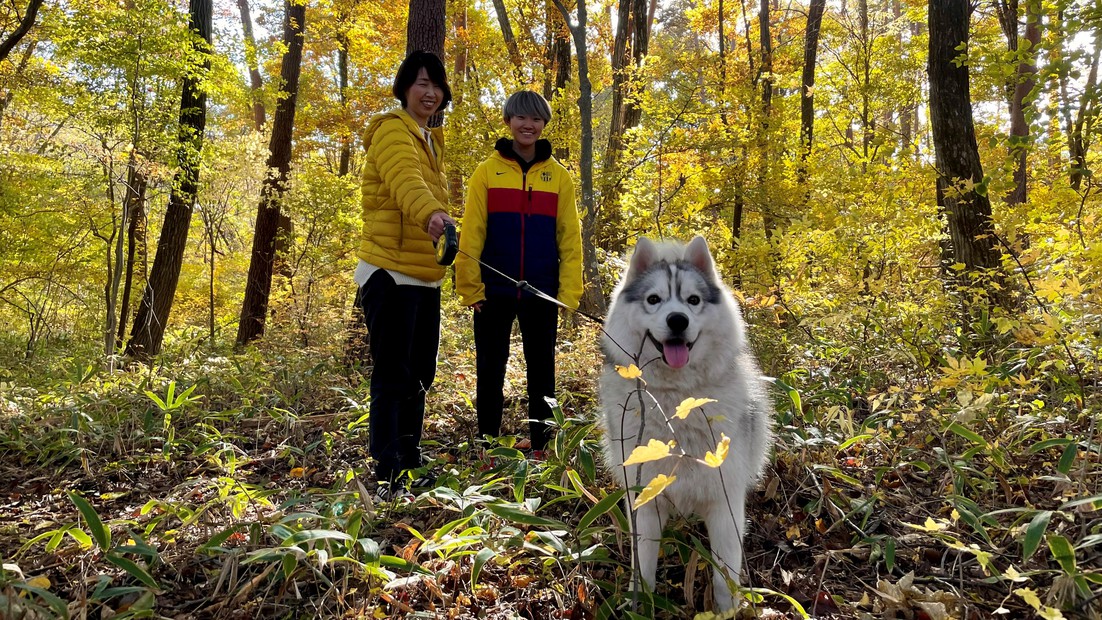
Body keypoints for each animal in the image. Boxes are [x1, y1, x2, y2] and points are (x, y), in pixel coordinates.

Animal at [599, 236, 771, 612]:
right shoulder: (643, 501)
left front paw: (725, 613)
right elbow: (643, 568)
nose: (677, 320)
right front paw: (640, 607)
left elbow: (725, 579)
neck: (677, 402)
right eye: (654, 299)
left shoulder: (725, 505)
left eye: (693, 300)